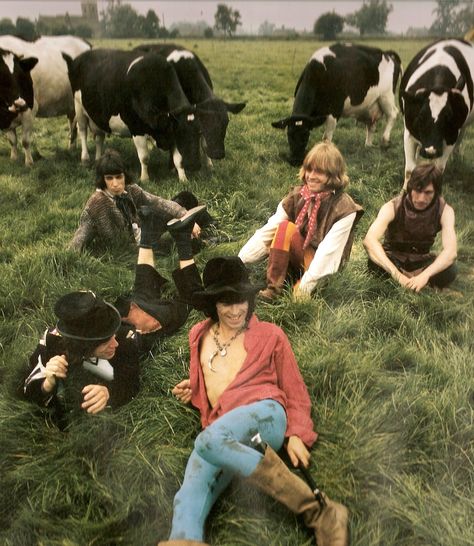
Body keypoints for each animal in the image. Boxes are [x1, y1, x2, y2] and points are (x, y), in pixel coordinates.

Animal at [63, 49, 202, 181]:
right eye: (181, 132)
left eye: (199, 132)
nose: (195, 165)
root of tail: (79, 57)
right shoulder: (136, 127)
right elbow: (145, 157)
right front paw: (145, 178)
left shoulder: (170, 133)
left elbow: (178, 159)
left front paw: (183, 179)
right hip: (78, 106)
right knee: (82, 131)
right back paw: (85, 160)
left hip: (98, 116)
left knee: (99, 137)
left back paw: (98, 161)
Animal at [272, 42, 402, 165]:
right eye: (289, 134)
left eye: (305, 135)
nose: (295, 161)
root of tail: (387, 53)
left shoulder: (335, 110)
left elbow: (326, 138)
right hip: (371, 105)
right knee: (371, 124)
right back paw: (368, 145)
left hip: (386, 96)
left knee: (393, 114)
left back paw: (384, 141)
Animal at [400, 38, 474, 185]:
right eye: (421, 117)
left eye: (449, 117)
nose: (431, 152)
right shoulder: (409, 131)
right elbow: (409, 169)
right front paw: (405, 189)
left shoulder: (452, 135)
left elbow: (438, 168)